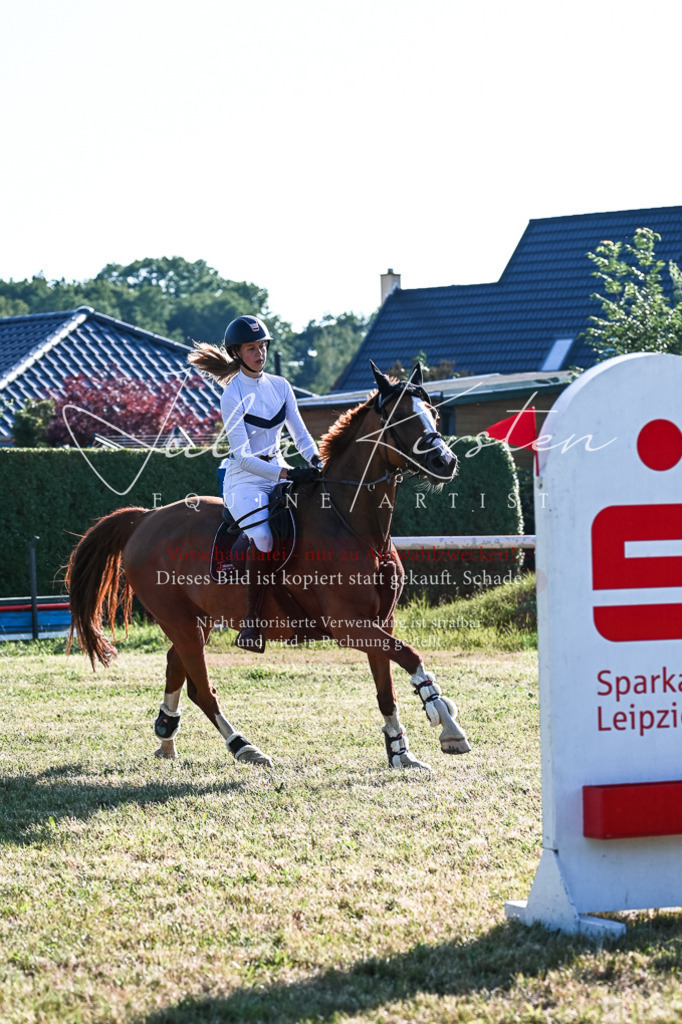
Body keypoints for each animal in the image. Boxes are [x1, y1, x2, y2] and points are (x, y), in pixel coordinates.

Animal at [66, 361, 471, 770]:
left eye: (433, 413)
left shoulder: (380, 622)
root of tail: (145, 518)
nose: (446, 462)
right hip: (179, 620)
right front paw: (447, 724)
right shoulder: (348, 625)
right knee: (201, 688)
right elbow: (411, 655)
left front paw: (401, 753)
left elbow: (386, 688)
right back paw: (243, 746)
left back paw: (166, 736)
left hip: (197, 620)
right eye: (400, 418)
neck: (357, 527)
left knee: (175, 666)